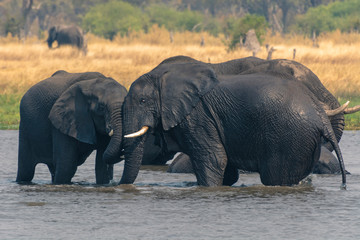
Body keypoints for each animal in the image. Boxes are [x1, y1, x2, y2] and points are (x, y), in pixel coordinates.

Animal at [120, 59, 346, 188]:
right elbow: (225, 167)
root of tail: (321, 117)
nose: (116, 185)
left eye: (142, 101)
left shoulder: (197, 116)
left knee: (275, 179)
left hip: (289, 138)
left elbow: (214, 159)